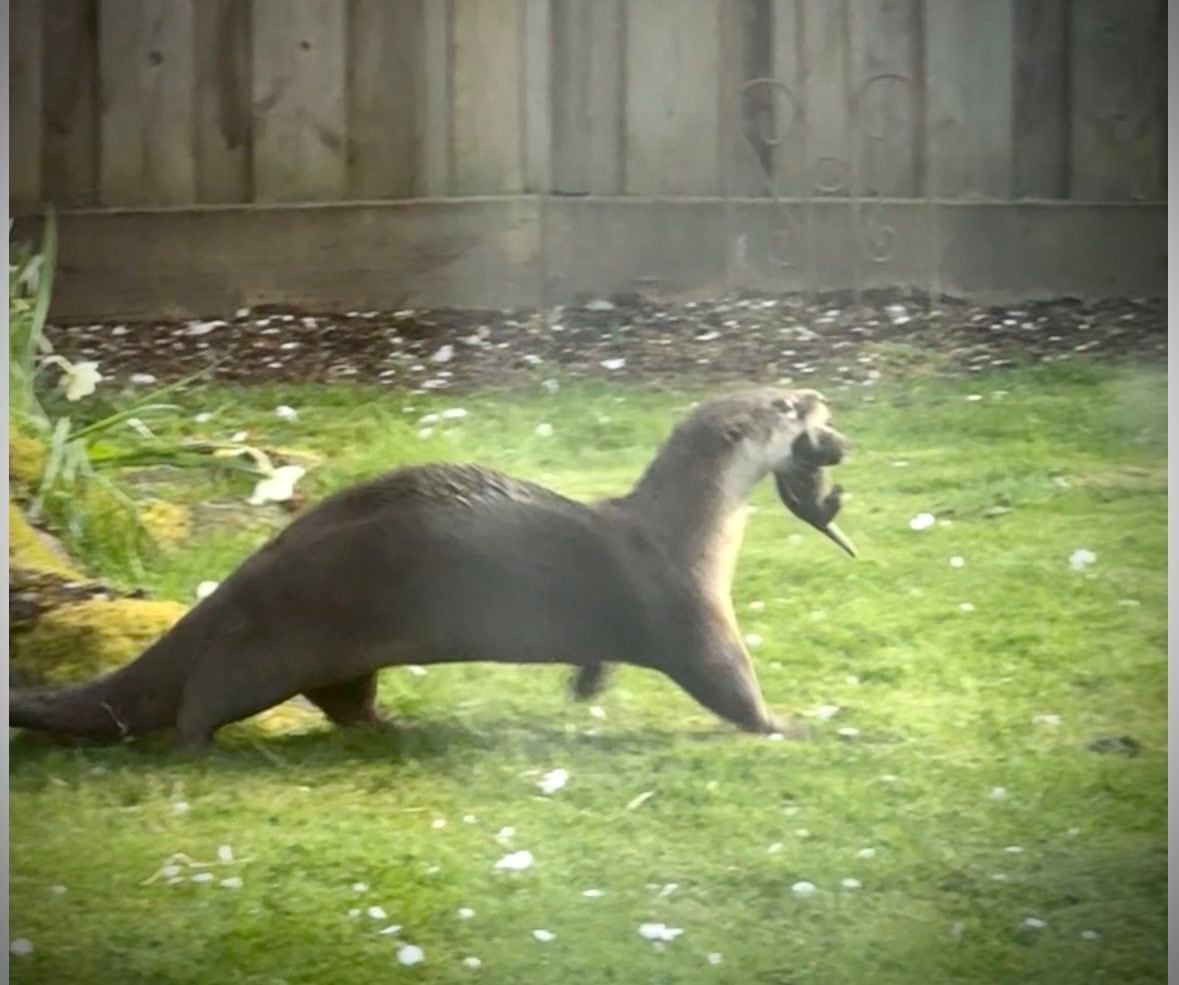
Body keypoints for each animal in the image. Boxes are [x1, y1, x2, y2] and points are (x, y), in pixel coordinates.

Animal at [10, 388, 855, 749]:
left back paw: (394, 723)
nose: (816, 395)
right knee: (206, 694)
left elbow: (598, 658)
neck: (683, 531)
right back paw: (199, 744)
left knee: (344, 699)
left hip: (336, 648)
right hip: (268, 642)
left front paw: (585, 686)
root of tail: (251, 571)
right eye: (785, 407)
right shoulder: (687, 609)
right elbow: (728, 685)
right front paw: (790, 724)